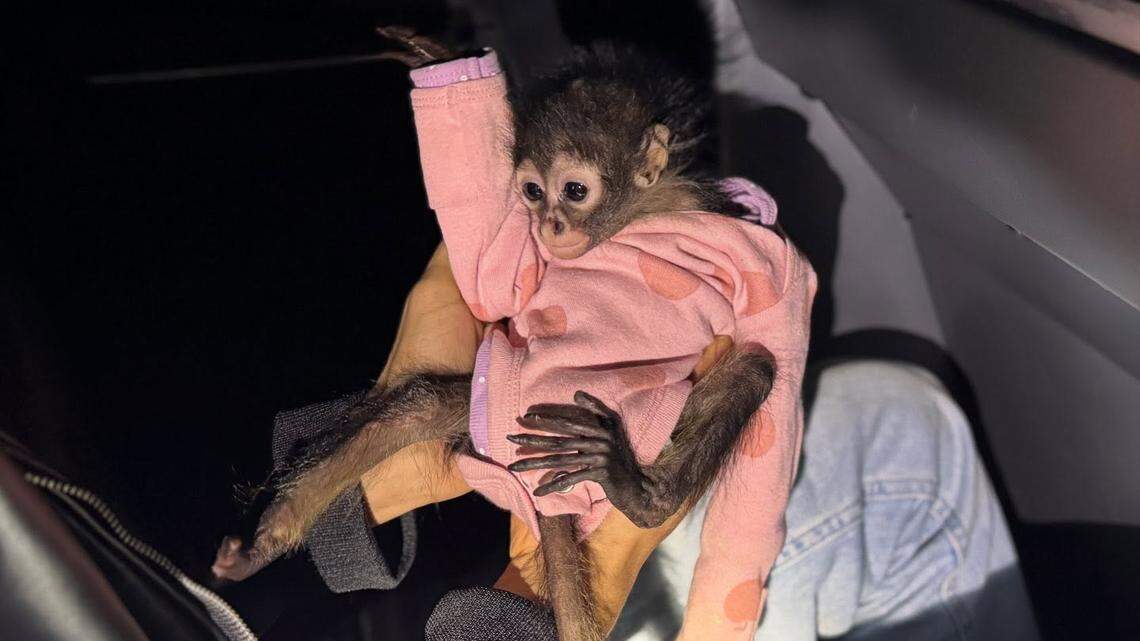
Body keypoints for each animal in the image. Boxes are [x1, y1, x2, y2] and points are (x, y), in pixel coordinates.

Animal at [214, 29, 813, 641]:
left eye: (574, 190)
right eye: (531, 191)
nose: (550, 225)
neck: (640, 215)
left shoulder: (760, 254)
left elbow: (779, 342)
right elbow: (493, 284)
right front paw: (439, 61)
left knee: (758, 368)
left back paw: (641, 495)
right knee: (418, 404)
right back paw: (264, 542)